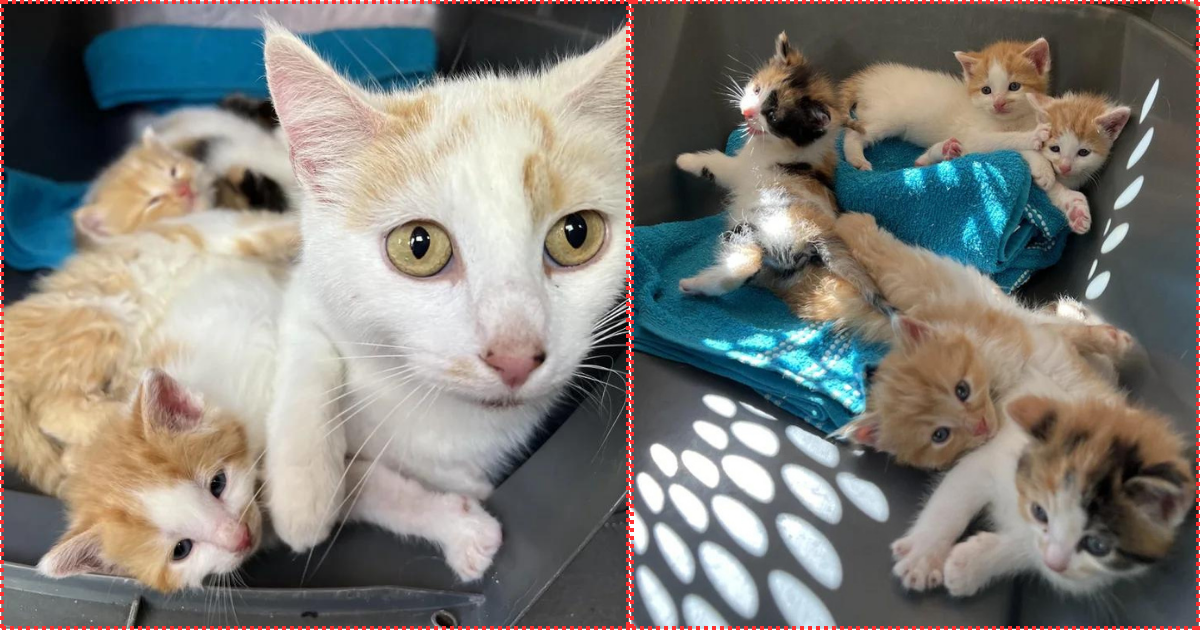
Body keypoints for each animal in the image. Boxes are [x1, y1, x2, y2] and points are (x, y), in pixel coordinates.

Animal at [254, 23, 628, 554]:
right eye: (418, 246)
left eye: (576, 234)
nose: (514, 356)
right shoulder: (305, 287)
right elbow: (308, 345)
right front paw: (304, 493)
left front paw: (462, 519)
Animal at [681, 33, 888, 309]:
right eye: (757, 90)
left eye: (772, 116)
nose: (746, 112)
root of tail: (819, 235)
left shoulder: (741, 167)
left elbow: (717, 163)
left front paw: (684, 160)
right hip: (752, 234)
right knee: (747, 262)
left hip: (766, 227)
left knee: (747, 263)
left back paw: (691, 285)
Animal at [835, 39, 1051, 171]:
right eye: (986, 90)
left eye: (1014, 86)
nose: (998, 103)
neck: (1010, 121)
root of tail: (867, 77)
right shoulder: (973, 136)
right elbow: (1000, 140)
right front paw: (1032, 138)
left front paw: (1043, 168)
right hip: (886, 116)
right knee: (853, 133)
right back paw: (856, 159)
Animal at [892, 396, 1190, 597]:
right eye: (1040, 512)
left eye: (1098, 545)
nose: (1055, 564)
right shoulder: (987, 459)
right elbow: (952, 501)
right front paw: (923, 557)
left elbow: (1034, 552)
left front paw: (971, 565)